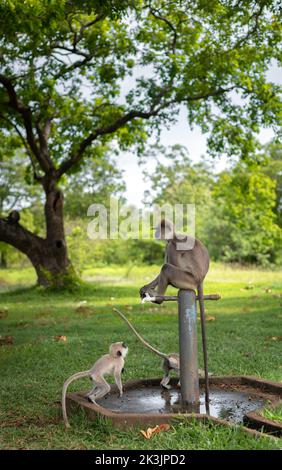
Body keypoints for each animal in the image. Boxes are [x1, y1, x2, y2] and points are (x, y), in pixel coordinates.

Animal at [140, 220, 210, 404]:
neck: (175, 235)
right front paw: (145, 287)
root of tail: (200, 280)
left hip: (186, 280)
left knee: (167, 268)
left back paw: (158, 298)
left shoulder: (171, 245)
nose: (155, 233)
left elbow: (168, 263)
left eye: (159, 230)